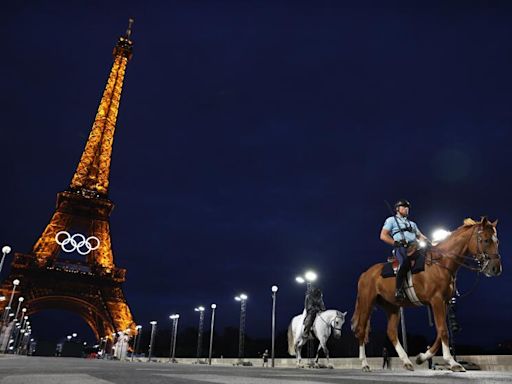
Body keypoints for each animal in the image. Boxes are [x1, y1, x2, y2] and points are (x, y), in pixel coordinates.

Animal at [352, 219, 500, 372]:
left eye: (497, 241)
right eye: (486, 240)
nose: (496, 268)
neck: (441, 263)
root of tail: (365, 273)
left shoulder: (444, 302)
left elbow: (440, 332)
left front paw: (422, 357)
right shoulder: (436, 300)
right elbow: (443, 330)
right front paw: (452, 362)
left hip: (392, 306)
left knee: (391, 332)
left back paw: (406, 361)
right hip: (366, 303)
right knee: (361, 330)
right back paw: (364, 364)